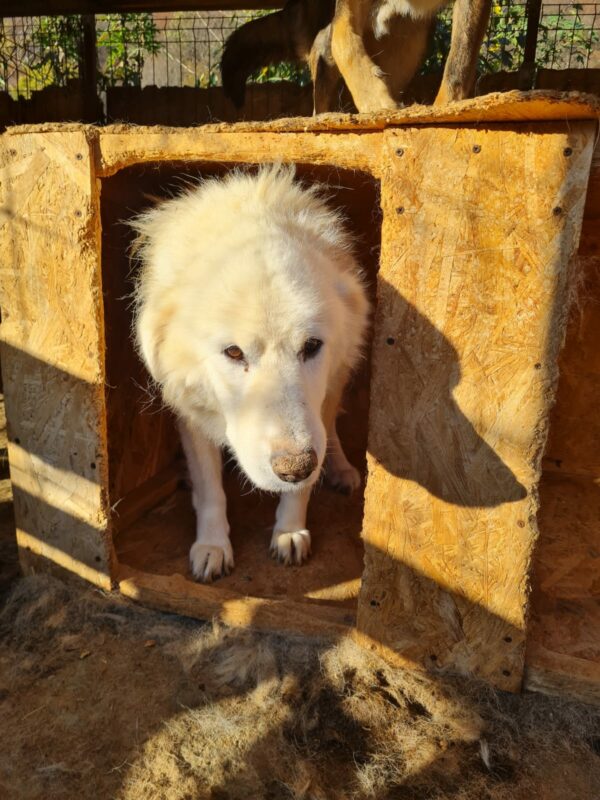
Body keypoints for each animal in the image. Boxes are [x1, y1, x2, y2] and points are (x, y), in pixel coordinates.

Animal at [132, 166, 370, 584]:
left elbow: (303, 485)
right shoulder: (191, 410)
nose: (296, 468)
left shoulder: (320, 404)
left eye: (311, 346)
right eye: (233, 352)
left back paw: (339, 468)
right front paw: (212, 547)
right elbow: (211, 489)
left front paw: (290, 530)